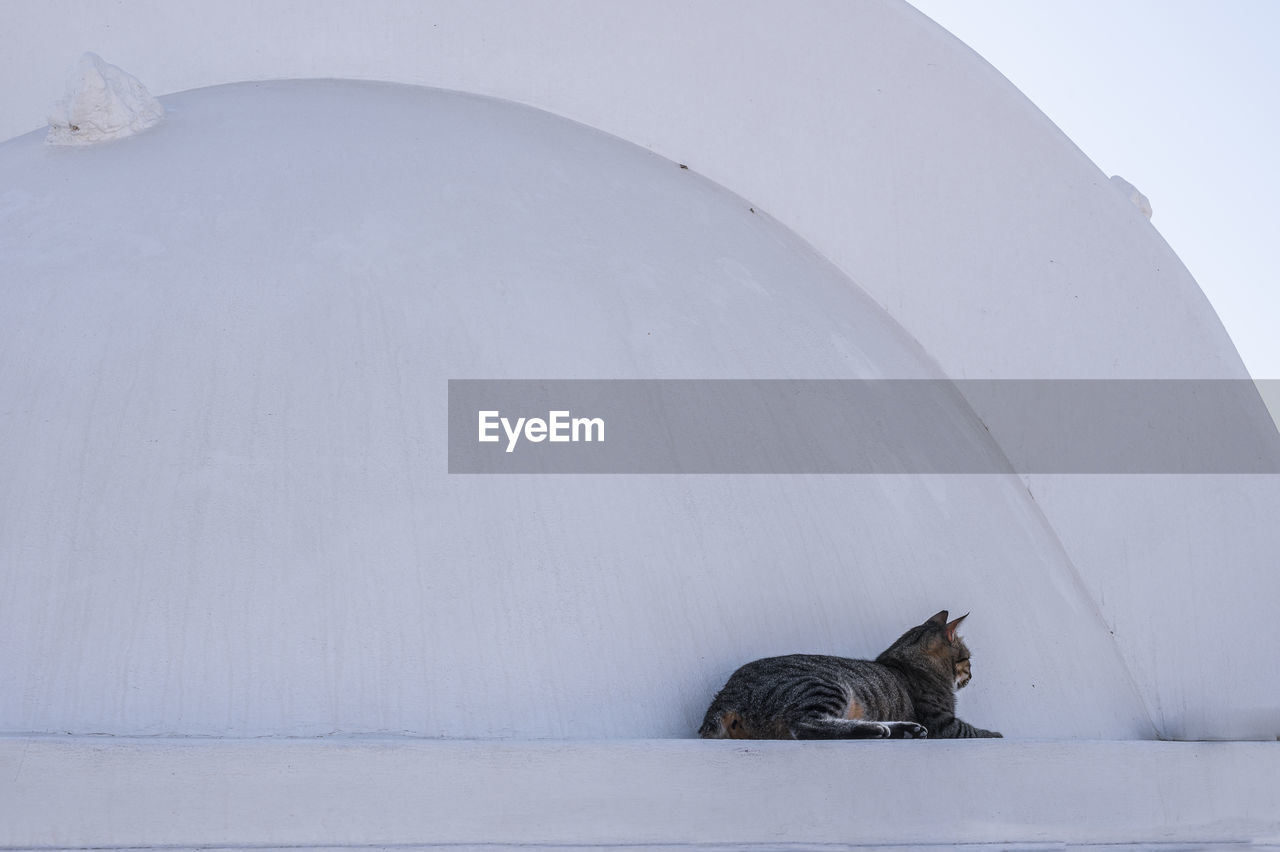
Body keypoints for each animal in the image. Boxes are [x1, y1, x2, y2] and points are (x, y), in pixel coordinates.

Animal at [701, 611, 998, 736]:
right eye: (968, 659)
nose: (972, 675)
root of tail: (727, 694)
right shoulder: (942, 721)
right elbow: (971, 730)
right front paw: (994, 733)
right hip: (825, 687)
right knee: (805, 726)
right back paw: (881, 730)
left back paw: (904, 729)